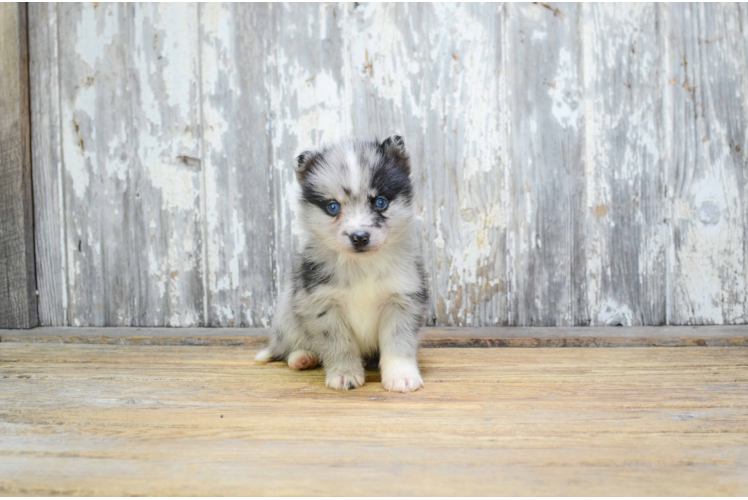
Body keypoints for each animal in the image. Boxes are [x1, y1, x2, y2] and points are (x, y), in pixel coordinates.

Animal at [254, 135, 426, 392]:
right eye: (333, 207)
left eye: (380, 202)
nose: (359, 237)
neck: (362, 266)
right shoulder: (322, 306)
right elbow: (340, 345)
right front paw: (345, 374)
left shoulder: (402, 300)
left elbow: (398, 344)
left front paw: (401, 376)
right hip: (287, 313)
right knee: (285, 349)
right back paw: (302, 357)